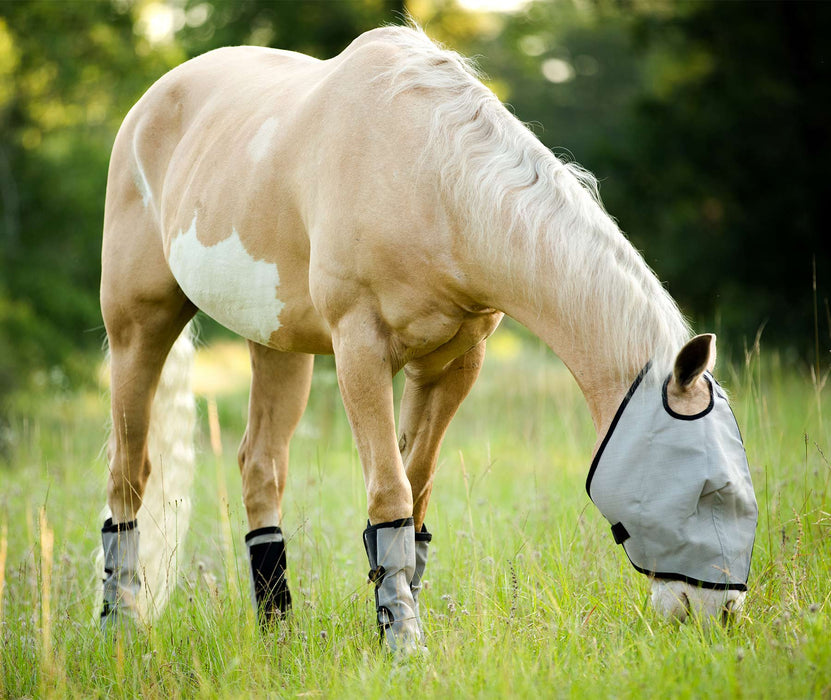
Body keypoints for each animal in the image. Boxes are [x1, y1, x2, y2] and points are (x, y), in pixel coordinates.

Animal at [98, 25, 757, 652]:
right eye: (709, 491)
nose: (720, 616)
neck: (432, 179)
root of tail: (152, 102)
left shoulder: (452, 363)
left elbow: (414, 501)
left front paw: (396, 620)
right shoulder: (360, 351)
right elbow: (390, 493)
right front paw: (404, 645)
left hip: (277, 343)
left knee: (259, 468)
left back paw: (277, 632)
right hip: (137, 328)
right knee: (128, 473)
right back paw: (119, 626)